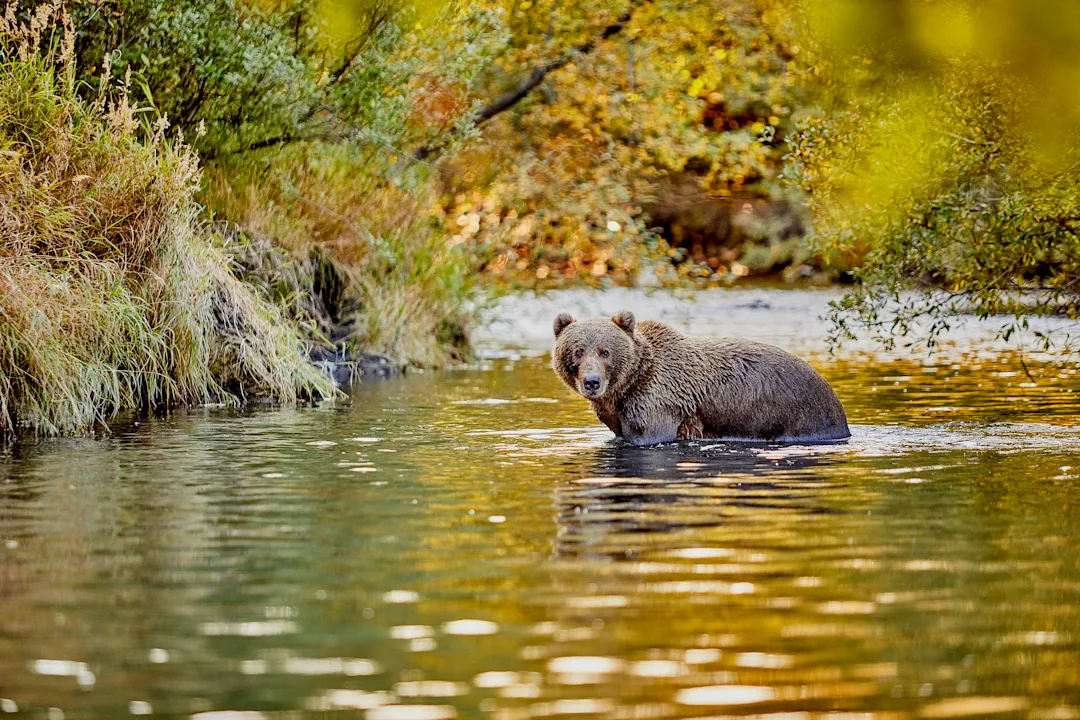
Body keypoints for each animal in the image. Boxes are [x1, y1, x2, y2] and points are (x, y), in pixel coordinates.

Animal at [552, 311, 849, 446]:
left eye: (605, 351)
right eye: (578, 351)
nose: (592, 382)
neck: (629, 384)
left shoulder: (658, 401)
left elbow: (646, 435)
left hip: (800, 413)